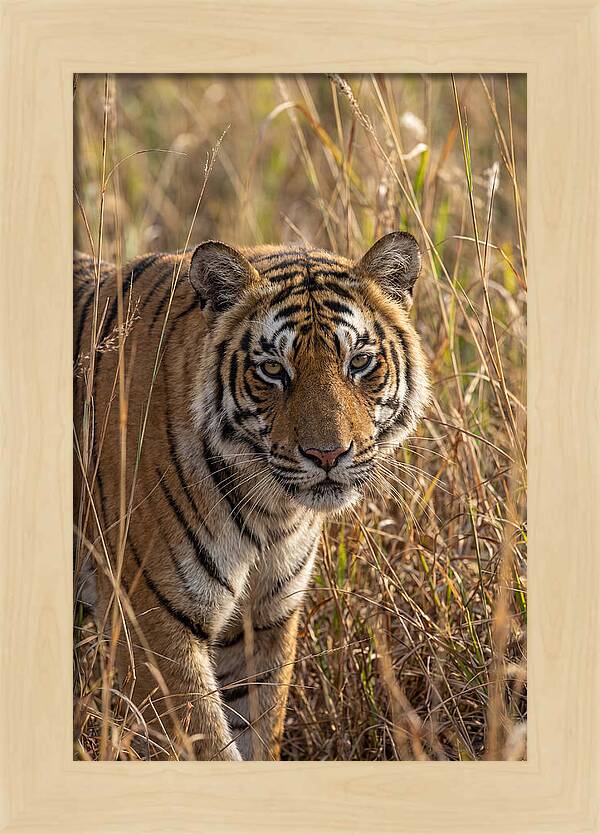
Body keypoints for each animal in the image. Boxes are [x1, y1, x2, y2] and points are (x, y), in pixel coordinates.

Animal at [73, 231, 430, 761]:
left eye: (360, 362)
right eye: (272, 370)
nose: (328, 454)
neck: (270, 512)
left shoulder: (264, 620)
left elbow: (259, 732)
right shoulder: (153, 624)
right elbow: (207, 748)